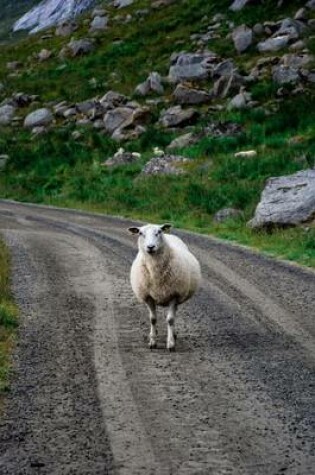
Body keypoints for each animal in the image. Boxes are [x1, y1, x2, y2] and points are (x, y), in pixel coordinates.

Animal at [129, 222, 201, 350]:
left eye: (158, 232)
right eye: (141, 233)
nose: (150, 247)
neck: (155, 272)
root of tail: (169, 234)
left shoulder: (174, 295)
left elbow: (170, 320)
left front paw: (171, 343)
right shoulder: (148, 296)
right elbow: (153, 319)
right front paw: (152, 341)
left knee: (173, 316)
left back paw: (174, 334)